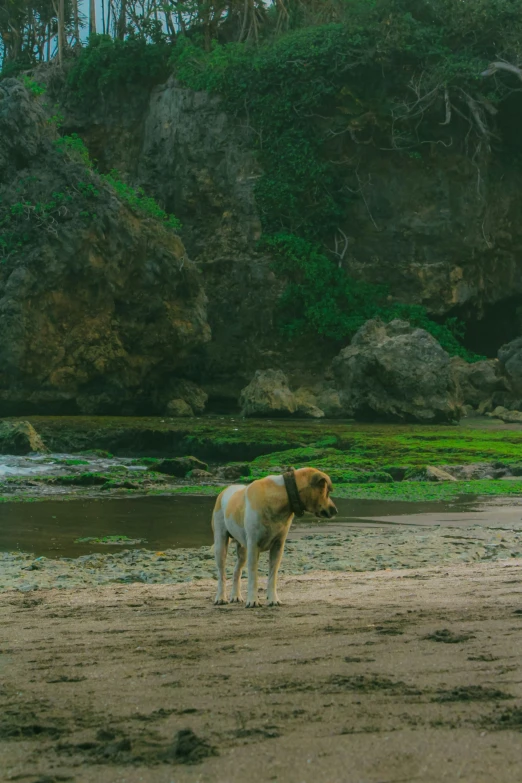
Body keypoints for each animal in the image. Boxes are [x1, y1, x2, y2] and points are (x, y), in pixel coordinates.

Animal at [211, 468, 338, 608]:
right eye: (326, 491)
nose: (335, 510)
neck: (282, 495)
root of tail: (224, 491)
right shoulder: (253, 545)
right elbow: (253, 575)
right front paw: (253, 600)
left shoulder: (278, 546)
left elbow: (273, 575)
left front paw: (273, 599)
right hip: (221, 543)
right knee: (221, 573)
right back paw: (221, 598)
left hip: (243, 549)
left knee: (236, 571)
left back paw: (236, 596)